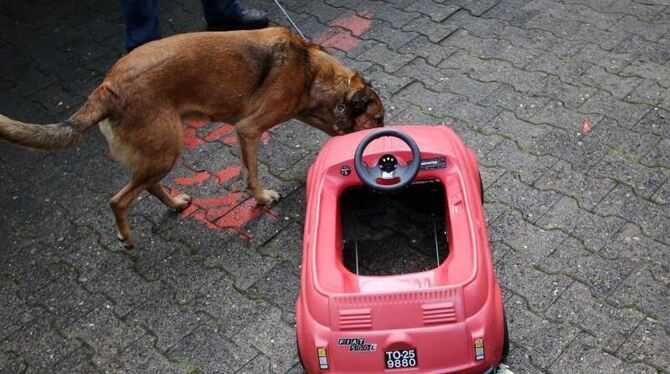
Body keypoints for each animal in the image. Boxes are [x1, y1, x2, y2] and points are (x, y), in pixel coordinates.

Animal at [0, 27, 384, 247]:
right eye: (379, 119)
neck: (309, 69)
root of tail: (107, 88)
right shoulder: (249, 130)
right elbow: (253, 175)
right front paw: (261, 197)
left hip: (160, 151)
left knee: (148, 186)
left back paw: (174, 205)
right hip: (166, 151)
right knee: (119, 200)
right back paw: (127, 237)